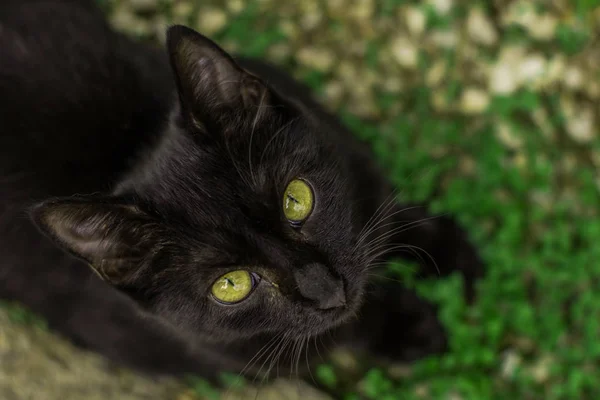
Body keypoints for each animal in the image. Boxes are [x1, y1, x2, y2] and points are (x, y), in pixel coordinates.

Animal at [0, 0, 482, 382]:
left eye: (296, 200)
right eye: (230, 285)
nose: (326, 289)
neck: (134, 143)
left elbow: (386, 212)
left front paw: (454, 253)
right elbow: (348, 328)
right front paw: (410, 328)